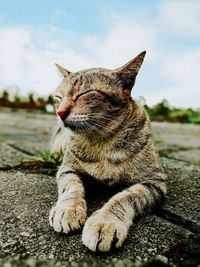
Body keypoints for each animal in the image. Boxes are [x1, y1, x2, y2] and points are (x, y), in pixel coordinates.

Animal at [49, 51, 166, 253]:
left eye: (85, 93)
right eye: (58, 97)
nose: (60, 113)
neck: (101, 141)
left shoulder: (155, 180)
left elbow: (125, 197)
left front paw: (105, 222)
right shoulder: (67, 168)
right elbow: (71, 186)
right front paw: (68, 209)